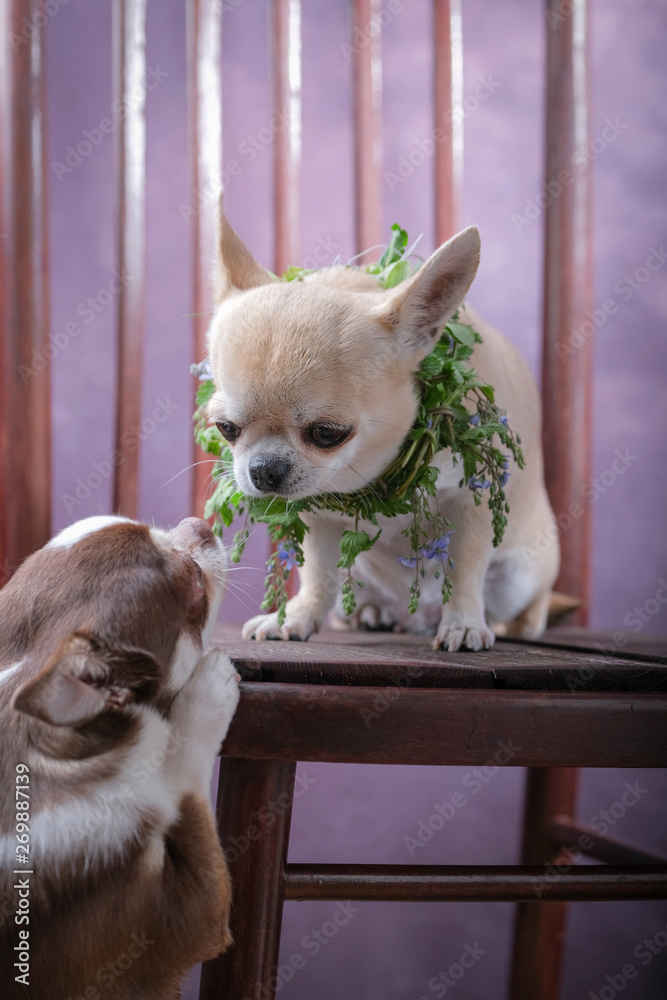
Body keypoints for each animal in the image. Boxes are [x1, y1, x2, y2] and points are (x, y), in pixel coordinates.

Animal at [206, 208, 561, 652]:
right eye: (226, 428)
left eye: (327, 433)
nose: (264, 469)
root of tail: (416, 617)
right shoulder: (318, 515)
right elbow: (317, 574)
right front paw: (297, 617)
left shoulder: (471, 505)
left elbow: (465, 570)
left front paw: (462, 623)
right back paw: (373, 614)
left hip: (522, 576)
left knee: (528, 605)